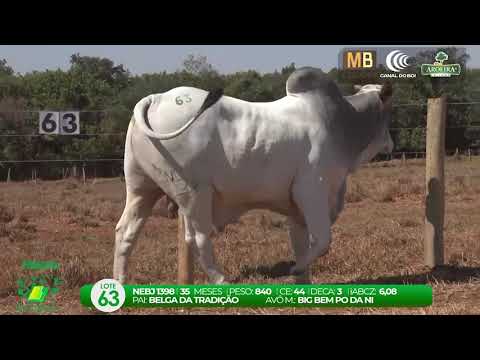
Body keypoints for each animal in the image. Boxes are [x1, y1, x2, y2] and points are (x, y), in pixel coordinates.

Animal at [113, 67, 394, 284]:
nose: (391, 144)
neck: (343, 122)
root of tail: (155, 98)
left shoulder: (297, 208)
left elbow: (302, 243)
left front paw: (303, 280)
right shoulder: (312, 190)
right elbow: (323, 240)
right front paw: (295, 268)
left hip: (141, 188)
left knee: (125, 232)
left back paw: (120, 282)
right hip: (194, 192)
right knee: (197, 237)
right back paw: (221, 280)